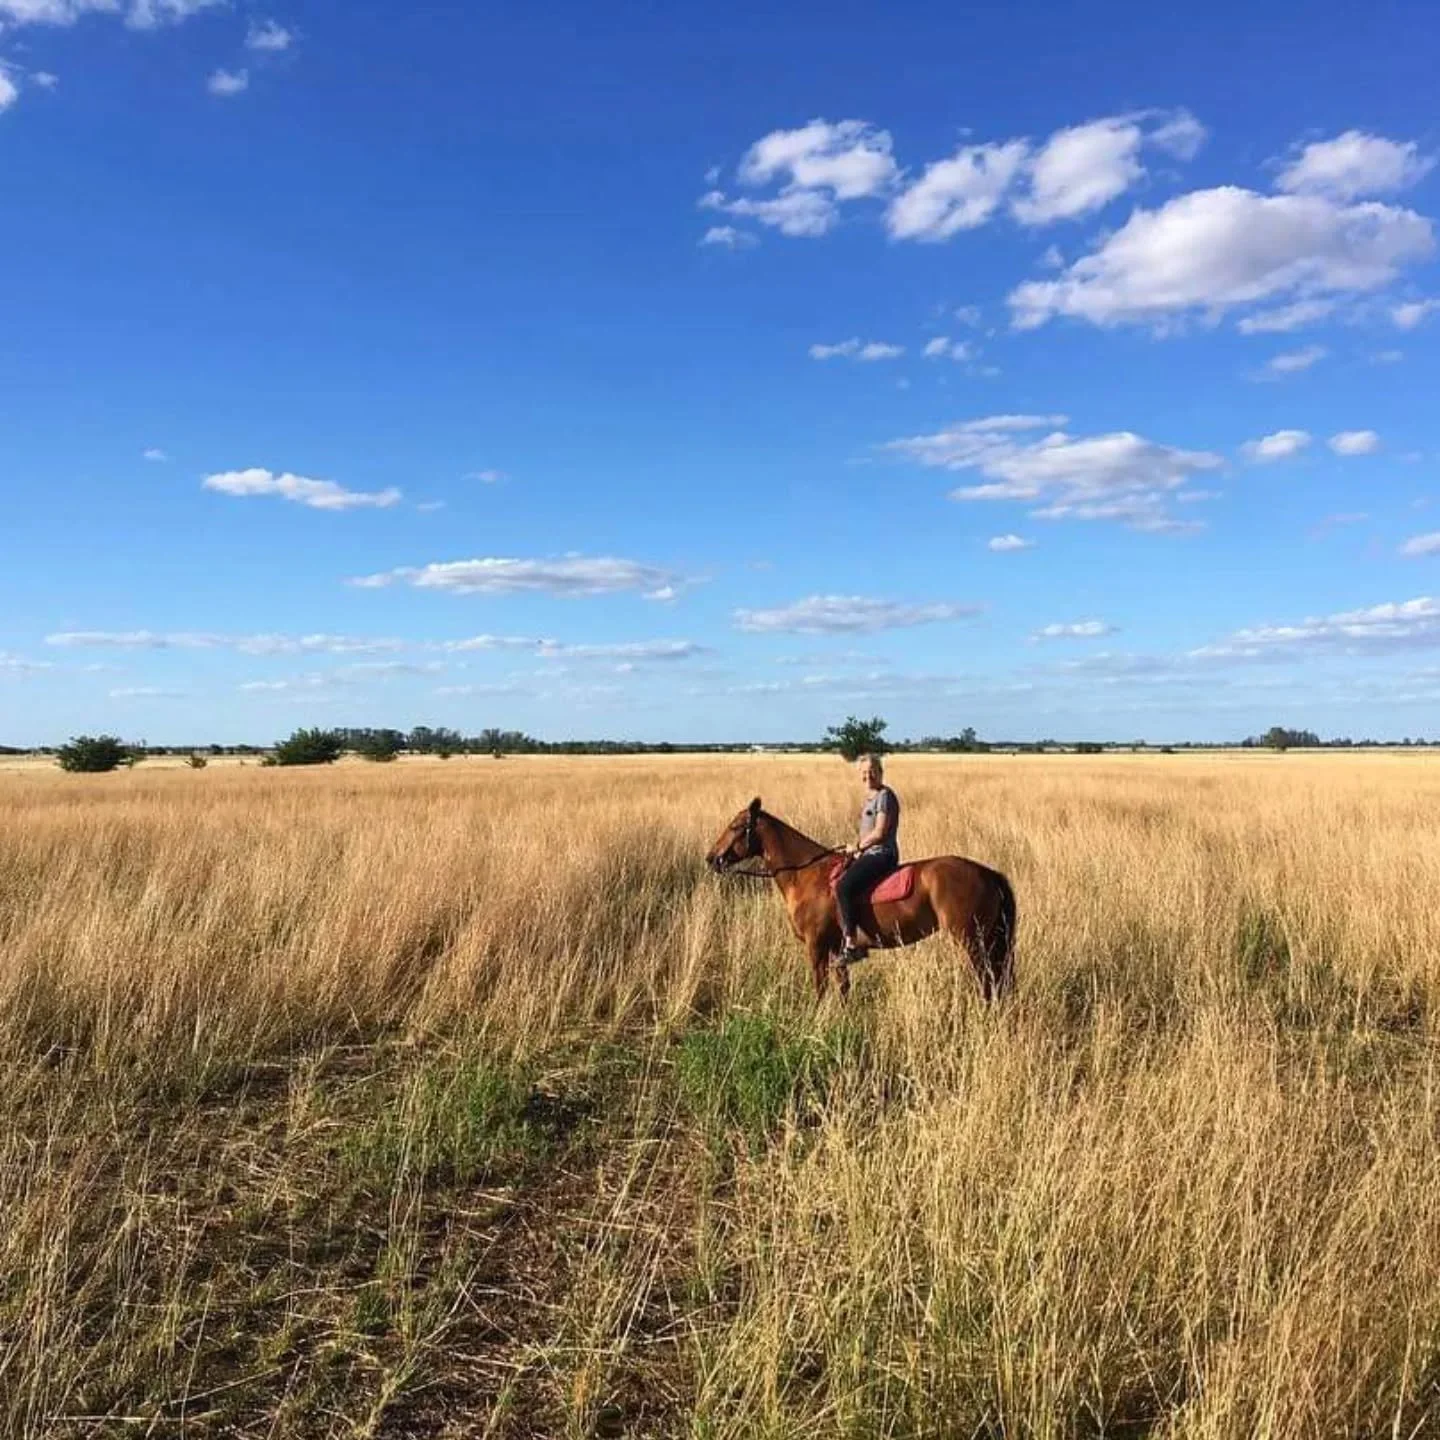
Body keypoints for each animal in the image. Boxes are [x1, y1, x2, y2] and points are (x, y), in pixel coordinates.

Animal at [706, 797, 1017, 1001]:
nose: (712, 858)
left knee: (987, 982)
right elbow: (843, 990)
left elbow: (820, 990)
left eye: (735, 826)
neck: (806, 874)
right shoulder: (835, 951)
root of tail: (986, 873)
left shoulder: (816, 947)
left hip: (971, 941)